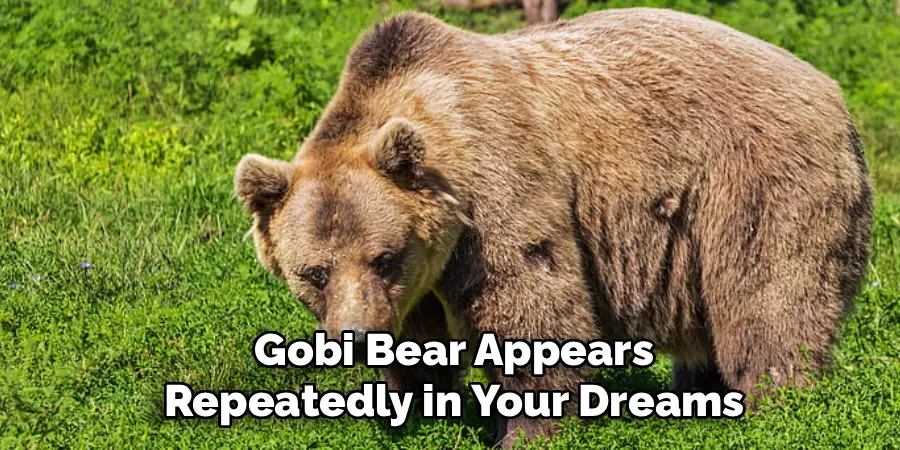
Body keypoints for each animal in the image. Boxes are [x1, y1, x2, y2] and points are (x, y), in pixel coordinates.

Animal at [234, 8, 873, 447]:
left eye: (383, 256)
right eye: (314, 272)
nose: (357, 336)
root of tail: (831, 89)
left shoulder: (497, 192)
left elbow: (532, 305)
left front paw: (529, 431)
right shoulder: (417, 282)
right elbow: (420, 346)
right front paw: (410, 409)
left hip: (754, 181)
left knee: (771, 298)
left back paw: (776, 406)